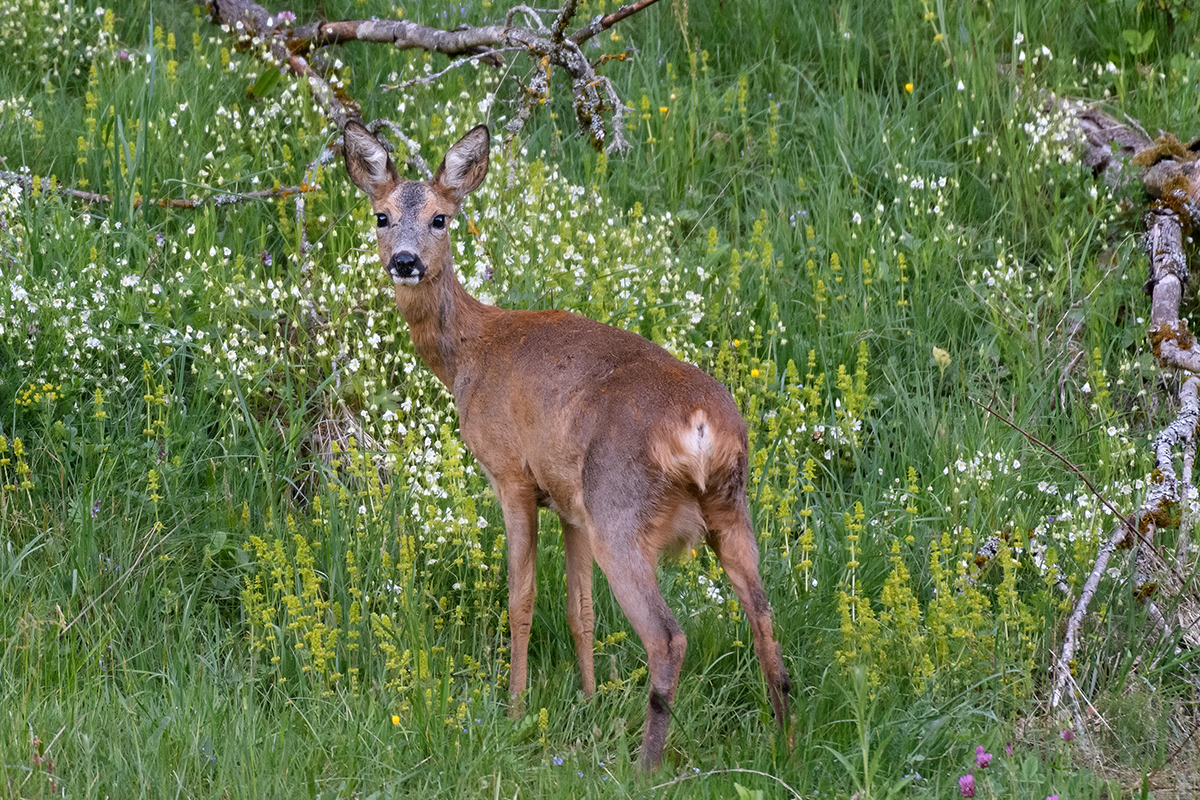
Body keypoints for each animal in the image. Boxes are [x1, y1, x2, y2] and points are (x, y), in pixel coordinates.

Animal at [343, 118, 792, 767]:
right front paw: (588, 698)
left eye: (440, 218)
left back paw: (646, 765)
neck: (468, 355)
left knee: (668, 636)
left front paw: (514, 708)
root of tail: (702, 424)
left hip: (621, 511)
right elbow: (580, 610)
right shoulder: (570, 505)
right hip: (730, 506)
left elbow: (522, 598)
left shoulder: (511, 474)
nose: (405, 261)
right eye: (381, 215)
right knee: (761, 610)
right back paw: (785, 738)